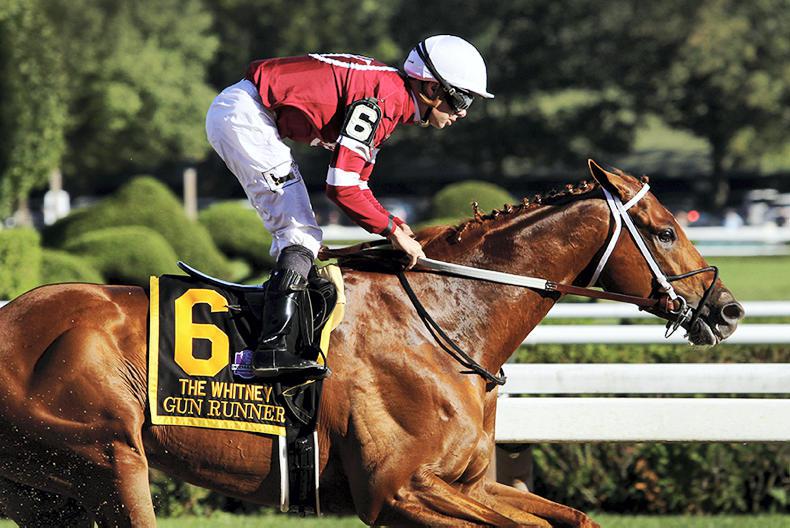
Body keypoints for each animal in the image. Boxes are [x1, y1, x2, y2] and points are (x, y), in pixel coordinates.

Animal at [0, 160, 743, 527]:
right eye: (666, 230)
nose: (727, 308)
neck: (443, 326)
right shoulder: (396, 490)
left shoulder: (469, 483)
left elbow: (574, 519)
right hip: (109, 459)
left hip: (47, 488)